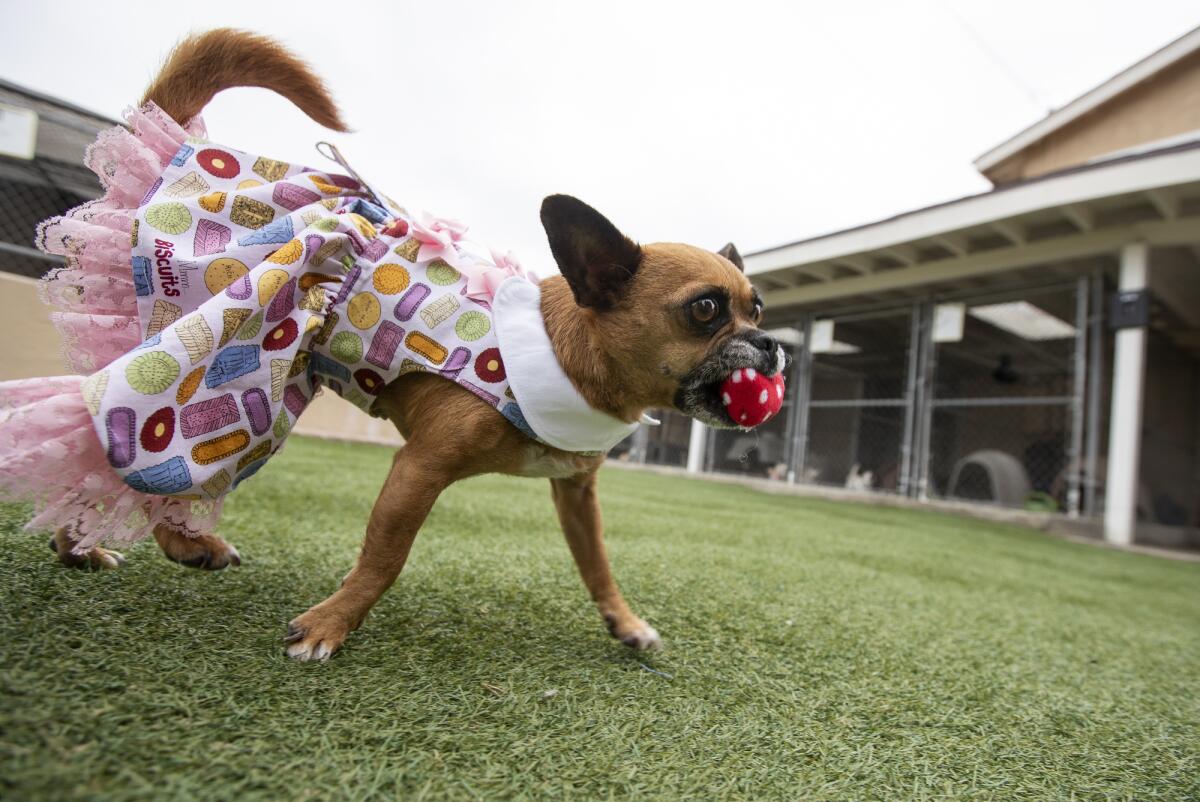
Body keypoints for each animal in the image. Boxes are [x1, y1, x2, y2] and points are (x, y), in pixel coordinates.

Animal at [23, 29, 782, 657]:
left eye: (758, 306)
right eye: (705, 310)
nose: (773, 344)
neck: (565, 356)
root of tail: (173, 157)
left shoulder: (575, 494)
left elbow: (596, 563)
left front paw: (625, 622)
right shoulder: (418, 469)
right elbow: (385, 558)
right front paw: (330, 625)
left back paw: (98, 548)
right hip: (220, 375)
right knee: (122, 457)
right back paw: (152, 544)